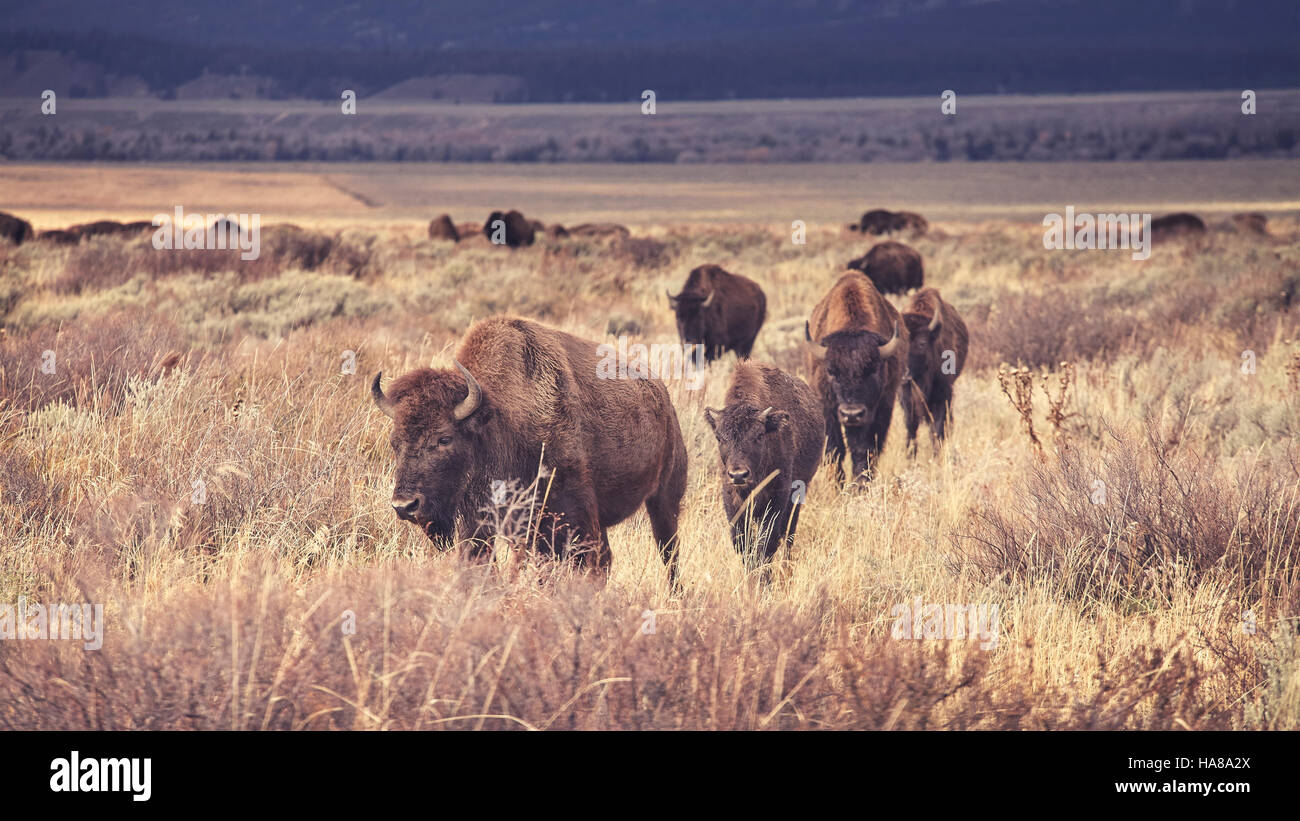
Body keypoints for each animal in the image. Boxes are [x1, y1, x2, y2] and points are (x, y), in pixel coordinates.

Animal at [369, 314, 691, 576]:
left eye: (444, 438)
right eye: (394, 443)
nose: (404, 505)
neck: (499, 418)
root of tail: (663, 397)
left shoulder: (569, 519)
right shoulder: (478, 523)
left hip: (664, 500)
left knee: (669, 555)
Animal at [707, 361, 816, 563]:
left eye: (759, 436)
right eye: (719, 438)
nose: (738, 475)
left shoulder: (777, 497)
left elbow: (767, 543)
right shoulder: (732, 500)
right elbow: (744, 544)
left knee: (788, 535)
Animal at [806, 268, 909, 488]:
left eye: (873, 369)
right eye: (831, 371)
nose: (851, 414)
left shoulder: (881, 408)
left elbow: (865, 449)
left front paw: (860, 485)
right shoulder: (828, 407)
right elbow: (834, 449)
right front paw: (838, 486)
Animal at [899, 288, 972, 454]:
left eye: (922, 343)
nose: (904, 375)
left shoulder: (943, 394)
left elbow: (936, 429)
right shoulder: (906, 398)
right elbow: (911, 427)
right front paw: (910, 455)